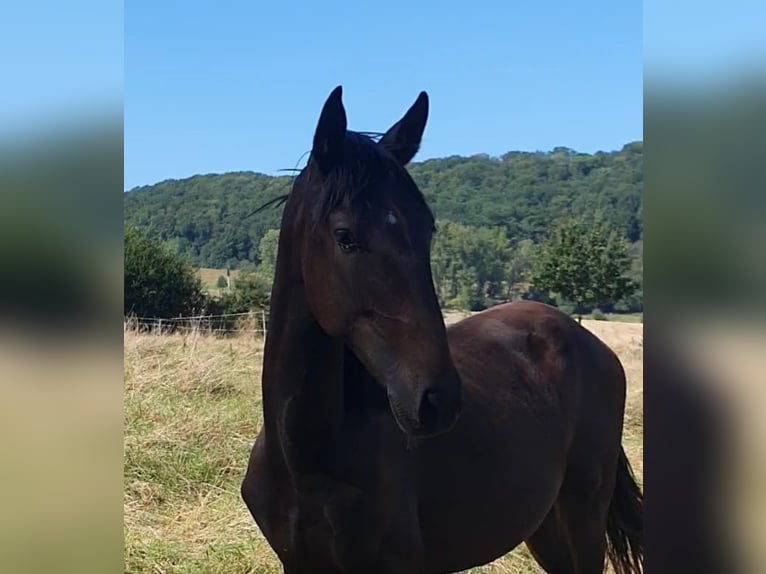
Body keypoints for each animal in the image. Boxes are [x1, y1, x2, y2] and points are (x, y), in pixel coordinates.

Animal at [243, 86, 644, 574]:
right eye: (345, 237)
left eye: (428, 230)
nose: (438, 400)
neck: (308, 462)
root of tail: (587, 341)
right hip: (545, 523)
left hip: (583, 512)